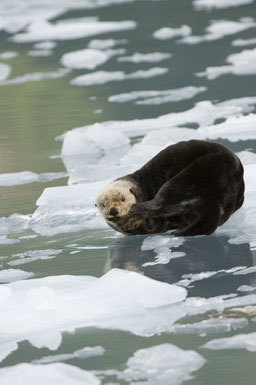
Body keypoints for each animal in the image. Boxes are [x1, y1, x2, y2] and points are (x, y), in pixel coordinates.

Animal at [95, 140, 244, 236]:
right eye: (103, 204)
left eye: (123, 199)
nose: (113, 210)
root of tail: (215, 198)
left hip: (190, 176)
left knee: (160, 203)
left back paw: (136, 208)